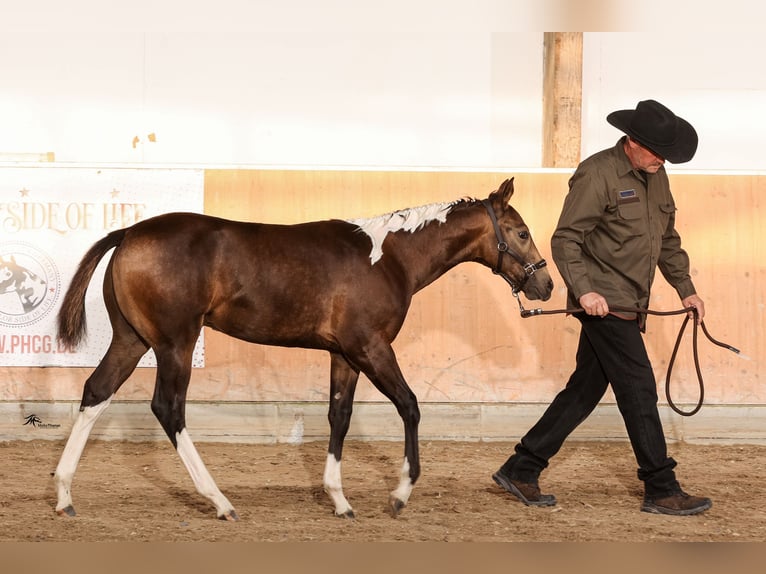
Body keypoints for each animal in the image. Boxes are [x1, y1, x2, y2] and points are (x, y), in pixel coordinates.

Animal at [51, 179, 552, 520]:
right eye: (521, 232)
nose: (545, 285)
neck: (389, 258)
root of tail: (129, 233)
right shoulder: (371, 347)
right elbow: (409, 405)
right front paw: (400, 493)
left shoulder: (344, 355)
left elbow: (339, 417)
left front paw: (339, 499)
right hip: (175, 343)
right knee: (168, 408)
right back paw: (220, 501)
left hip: (132, 340)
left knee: (96, 392)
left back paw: (64, 494)